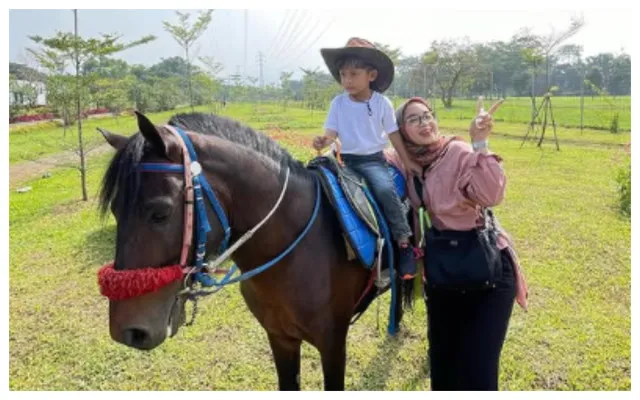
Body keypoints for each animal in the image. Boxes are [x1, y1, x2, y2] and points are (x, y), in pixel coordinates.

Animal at [96, 110, 404, 390]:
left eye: (160, 213)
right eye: (116, 211)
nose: (128, 331)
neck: (292, 255)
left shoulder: (333, 345)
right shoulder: (280, 338)